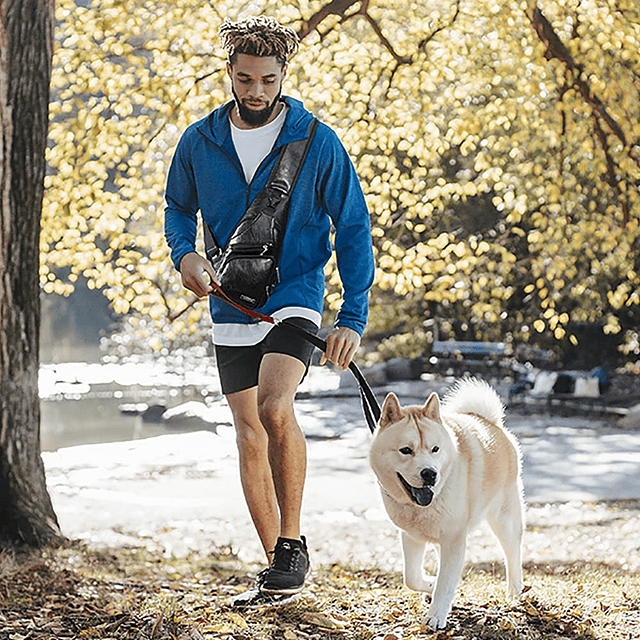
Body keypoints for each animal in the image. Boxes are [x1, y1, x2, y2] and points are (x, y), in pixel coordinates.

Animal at [370, 378, 524, 628]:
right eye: (406, 450)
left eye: (435, 449)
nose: (430, 474)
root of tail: (490, 423)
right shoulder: (412, 537)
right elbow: (411, 577)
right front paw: (430, 584)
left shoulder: (454, 539)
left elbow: (445, 581)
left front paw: (436, 615)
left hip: (505, 519)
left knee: (513, 554)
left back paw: (515, 591)